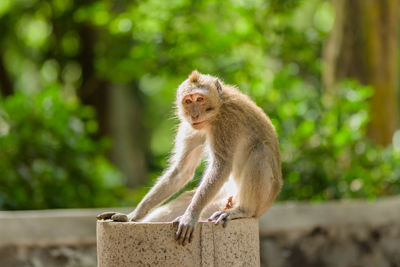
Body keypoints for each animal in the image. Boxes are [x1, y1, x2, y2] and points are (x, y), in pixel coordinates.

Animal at [97, 70, 282, 247]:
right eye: (188, 101)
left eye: (200, 99)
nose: (194, 114)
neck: (217, 109)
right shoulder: (190, 127)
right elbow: (182, 170)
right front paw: (132, 216)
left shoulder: (226, 122)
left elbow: (221, 165)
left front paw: (190, 217)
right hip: (222, 196)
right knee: (186, 198)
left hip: (261, 199)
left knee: (260, 152)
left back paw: (243, 210)